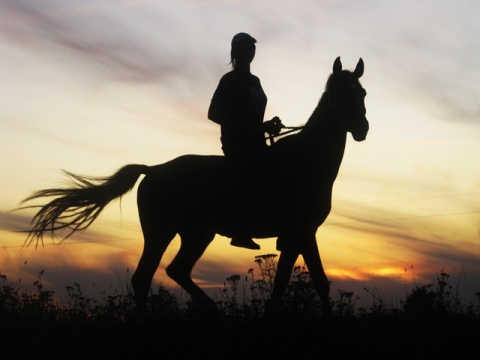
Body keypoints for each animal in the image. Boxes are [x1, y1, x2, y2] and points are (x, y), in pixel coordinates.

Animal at [21, 56, 368, 316]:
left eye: (361, 92)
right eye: (339, 93)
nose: (362, 128)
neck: (306, 161)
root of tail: (153, 170)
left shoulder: (299, 235)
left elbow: (304, 282)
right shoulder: (301, 232)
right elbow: (303, 281)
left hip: (193, 233)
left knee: (173, 271)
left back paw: (210, 310)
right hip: (164, 232)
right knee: (146, 277)